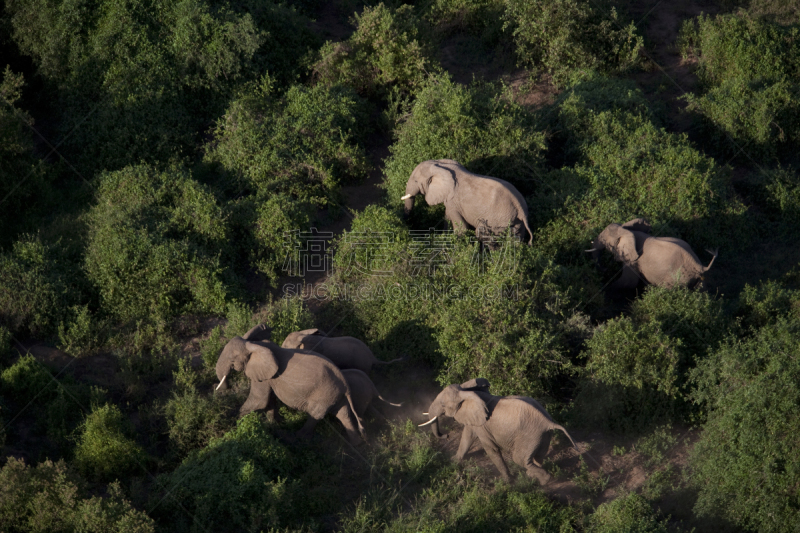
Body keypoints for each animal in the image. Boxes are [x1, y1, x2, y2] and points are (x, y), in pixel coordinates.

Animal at [216, 324, 366, 444]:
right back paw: (357, 443)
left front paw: (235, 423)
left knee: (314, 415)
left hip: (324, 395)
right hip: (335, 395)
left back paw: (297, 437)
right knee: (344, 415)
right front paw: (274, 424)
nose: (228, 386)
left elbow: (259, 400)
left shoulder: (263, 377)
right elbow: (269, 400)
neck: (256, 345)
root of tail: (345, 385)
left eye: (232, 359)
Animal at [398, 159, 532, 244]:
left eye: (416, 181)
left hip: (499, 220)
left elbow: (461, 228)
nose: (408, 225)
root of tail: (521, 209)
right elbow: (447, 218)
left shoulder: (454, 202)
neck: (440, 166)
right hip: (514, 220)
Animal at [418, 376, 576, 484]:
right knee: (537, 457)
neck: (467, 392)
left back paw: (544, 481)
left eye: (443, 405)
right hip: (543, 435)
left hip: (531, 435)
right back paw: (533, 476)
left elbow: (491, 449)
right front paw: (454, 460)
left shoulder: (483, 425)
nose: (446, 435)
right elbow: (467, 436)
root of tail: (549, 422)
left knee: (519, 459)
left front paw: (507, 482)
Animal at [588, 217, 720, 288]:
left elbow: (628, 282)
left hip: (678, 277)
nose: (605, 270)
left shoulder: (632, 261)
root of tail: (699, 266)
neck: (627, 231)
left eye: (604, 240)